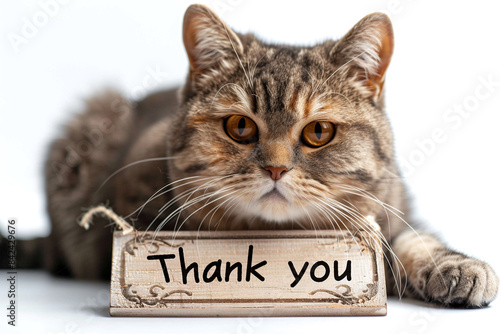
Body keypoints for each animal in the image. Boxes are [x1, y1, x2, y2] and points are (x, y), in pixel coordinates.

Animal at [3, 4, 496, 308]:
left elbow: (413, 241)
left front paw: (455, 265)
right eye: (240, 127)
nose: (275, 167)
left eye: (318, 131)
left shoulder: (389, 210)